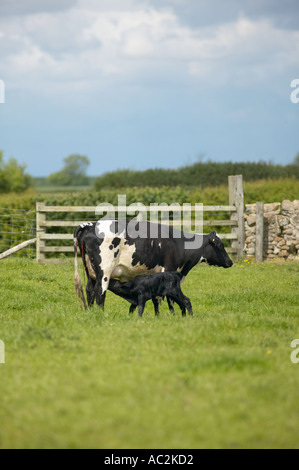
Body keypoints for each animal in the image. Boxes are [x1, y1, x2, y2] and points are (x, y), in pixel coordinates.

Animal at [74, 218, 233, 310]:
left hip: (90, 272)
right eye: (220, 245)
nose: (230, 262)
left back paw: (91, 313)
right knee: (100, 292)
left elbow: (158, 298)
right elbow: (169, 299)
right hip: (104, 271)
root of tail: (88, 225)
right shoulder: (169, 271)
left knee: (89, 291)